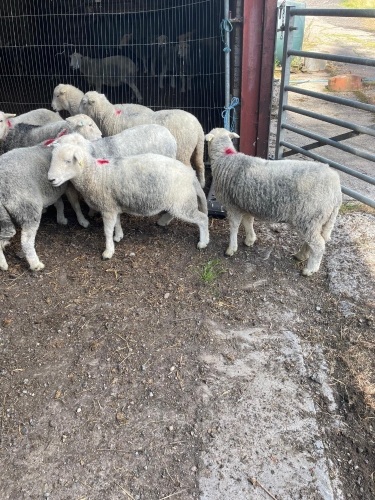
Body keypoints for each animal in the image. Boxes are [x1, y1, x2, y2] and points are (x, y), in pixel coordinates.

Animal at [0, 141, 91, 274]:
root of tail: (2, 190)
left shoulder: (55, 190)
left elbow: (59, 203)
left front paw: (61, 218)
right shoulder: (68, 185)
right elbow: (75, 204)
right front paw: (82, 220)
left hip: (3, 215)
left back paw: (2, 264)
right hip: (28, 207)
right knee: (26, 241)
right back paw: (35, 264)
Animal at [48, 139, 210, 260]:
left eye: (68, 161)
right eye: (52, 159)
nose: (51, 179)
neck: (96, 174)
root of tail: (191, 175)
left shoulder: (107, 207)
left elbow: (107, 230)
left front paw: (108, 251)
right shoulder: (113, 204)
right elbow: (117, 222)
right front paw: (118, 235)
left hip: (183, 202)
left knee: (202, 218)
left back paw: (203, 242)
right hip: (178, 200)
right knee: (174, 212)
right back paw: (164, 221)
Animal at [206, 128, 344, 278]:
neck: (225, 158)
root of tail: (336, 189)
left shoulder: (233, 206)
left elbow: (234, 227)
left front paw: (231, 248)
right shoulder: (246, 204)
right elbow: (248, 222)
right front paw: (250, 239)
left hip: (309, 215)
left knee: (318, 245)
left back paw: (310, 269)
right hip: (316, 220)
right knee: (312, 242)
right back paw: (301, 255)